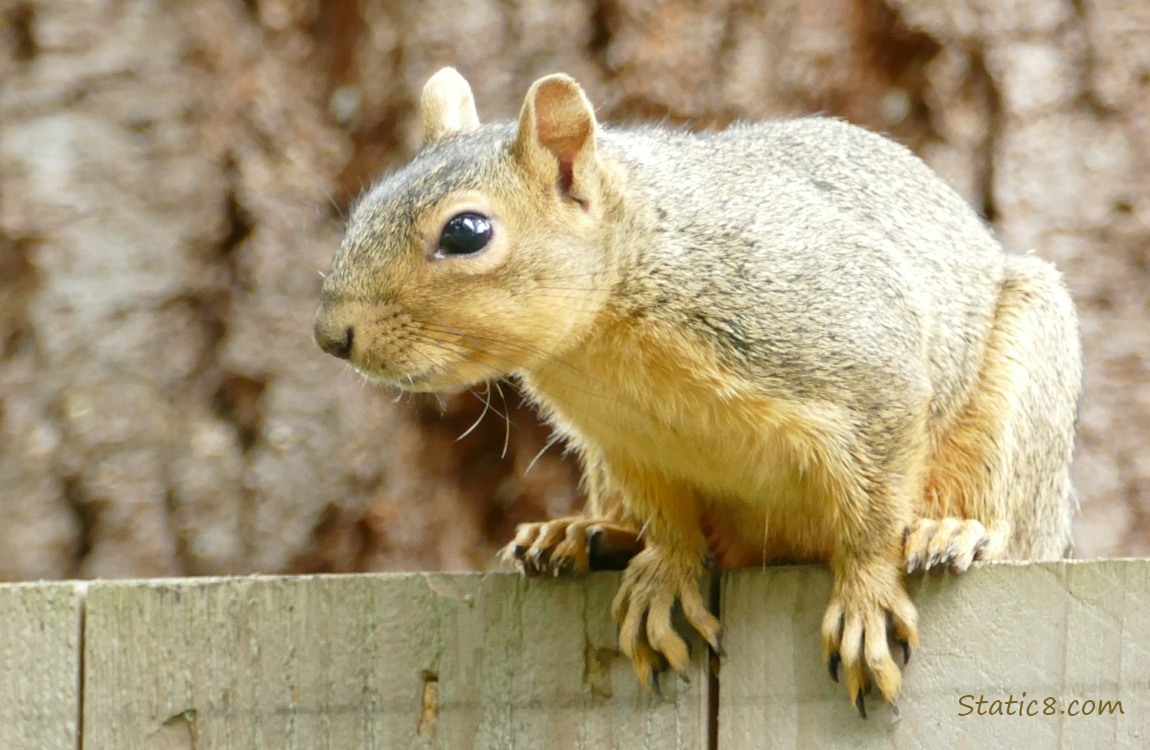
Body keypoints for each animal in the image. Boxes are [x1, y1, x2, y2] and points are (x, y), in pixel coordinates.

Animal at [312, 68, 1076, 713]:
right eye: (365, 207)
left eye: (467, 232)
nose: (330, 335)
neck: (605, 339)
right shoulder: (629, 442)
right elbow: (670, 524)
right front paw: (664, 576)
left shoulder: (856, 357)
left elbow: (872, 508)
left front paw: (865, 595)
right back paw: (585, 533)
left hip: (1024, 395)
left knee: (1009, 522)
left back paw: (953, 532)